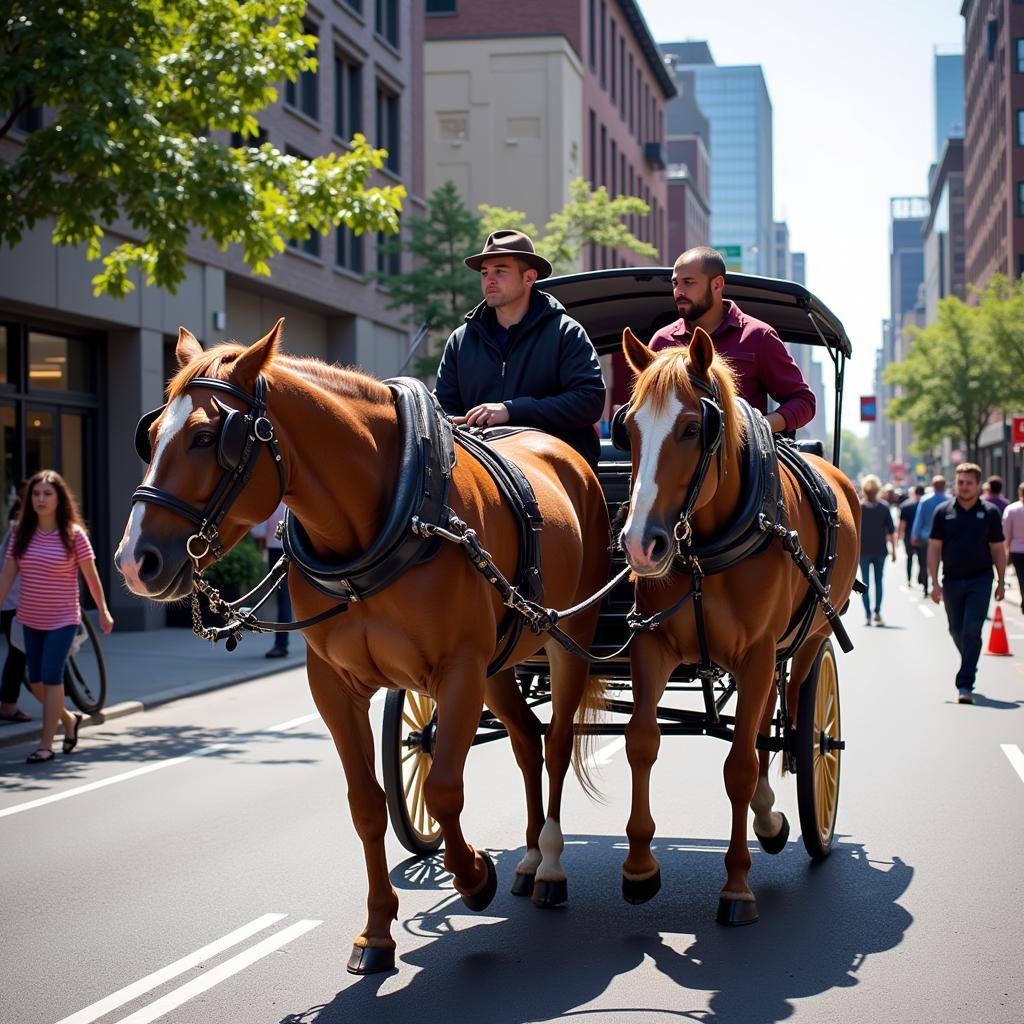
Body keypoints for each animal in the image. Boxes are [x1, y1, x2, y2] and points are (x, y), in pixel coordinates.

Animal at [114, 323, 606, 970]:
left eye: (204, 437)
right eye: (150, 435)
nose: (133, 561)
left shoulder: (459, 671)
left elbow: (444, 787)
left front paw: (474, 875)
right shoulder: (334, 685)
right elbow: (366, 803)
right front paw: (376, 931)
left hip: (568, 639)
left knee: (556, 744)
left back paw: (548, 865)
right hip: (503, 664)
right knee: (526, 741)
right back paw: (525, 859)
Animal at [610, 327, 860, 929]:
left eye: (692, 428)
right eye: (627, 427)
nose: (640, 545)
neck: (705, 547)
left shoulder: (756, 654)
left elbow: (740, 766)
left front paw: (737, 887)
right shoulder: (651, 643)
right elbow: (641, 742)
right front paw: (640, 869)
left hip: (806, 641)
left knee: (791, 720)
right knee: (766, 722)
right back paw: (767, 820)